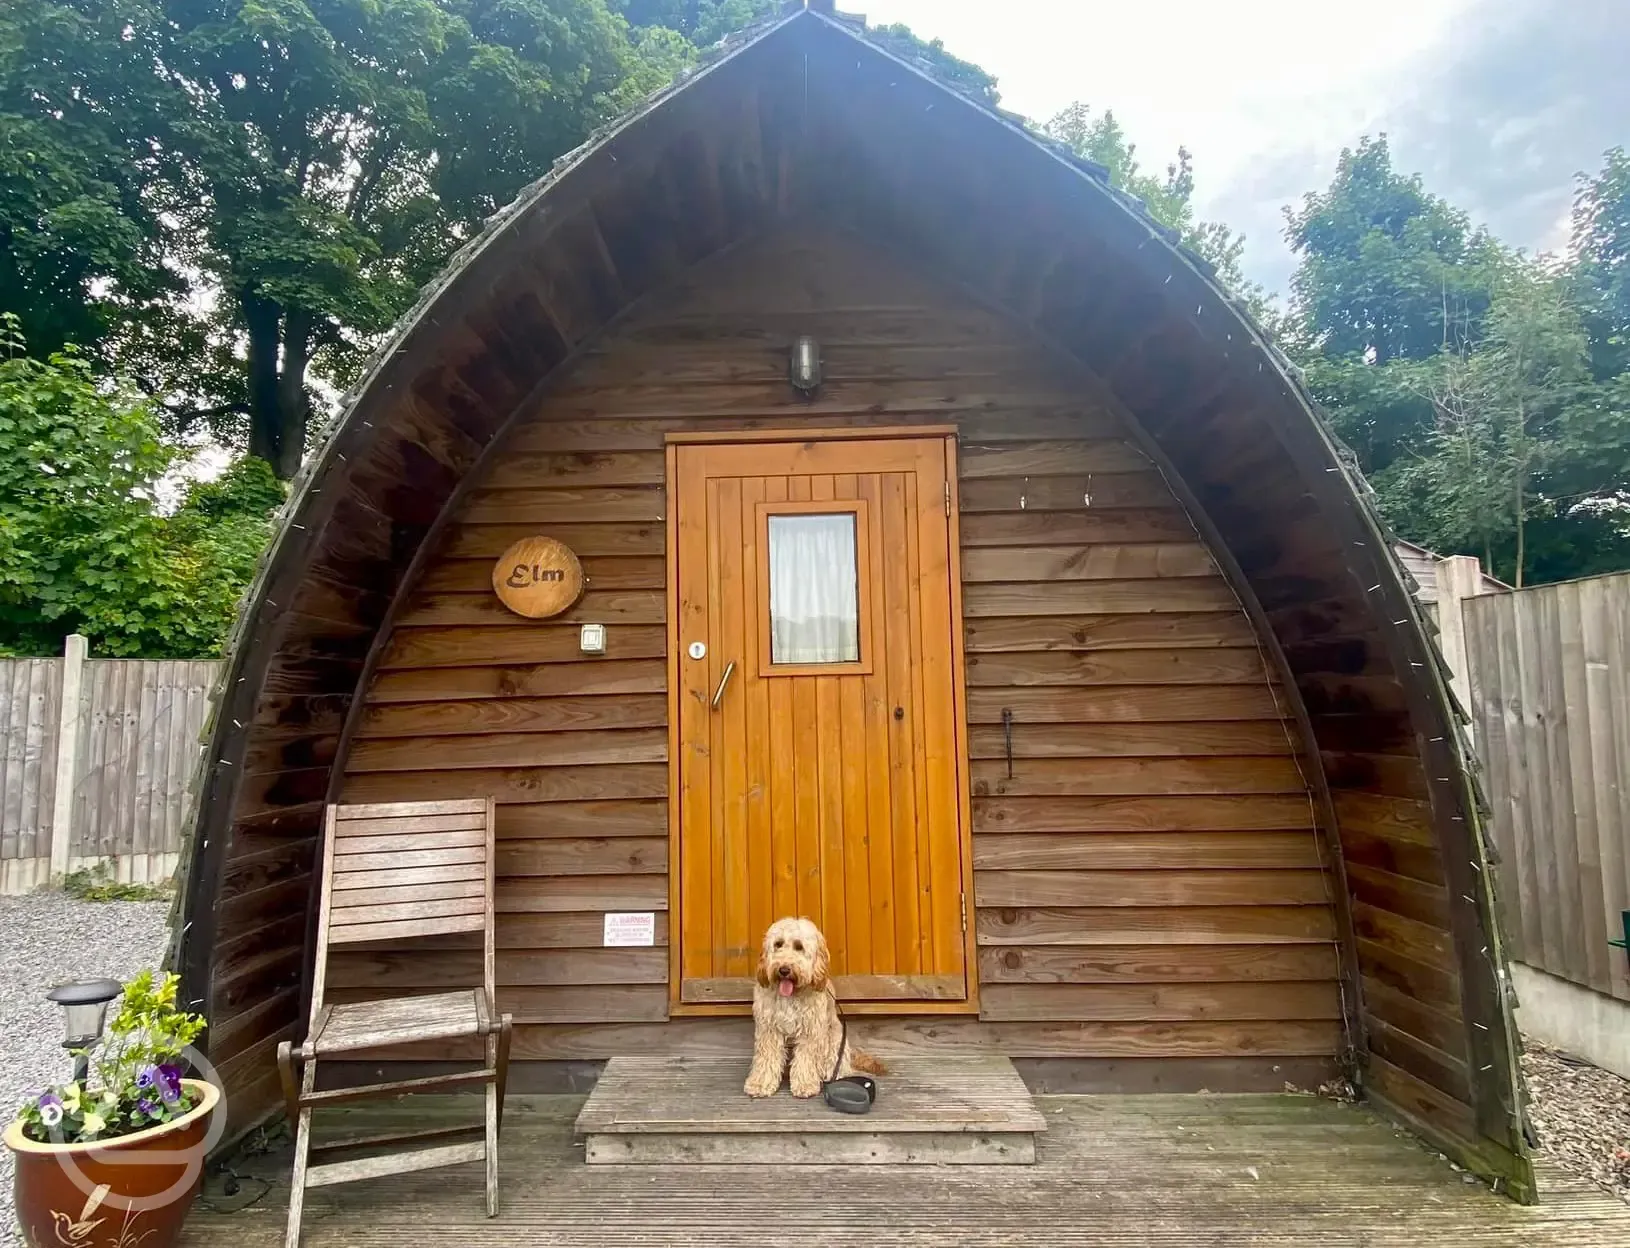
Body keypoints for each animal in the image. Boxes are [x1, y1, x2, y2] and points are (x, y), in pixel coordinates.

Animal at [743, 912, 886, 1101]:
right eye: (778, 944)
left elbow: (805, 1059)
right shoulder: (769, 1029)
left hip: (835, 1039)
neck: (792, 995)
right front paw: (760, 1084)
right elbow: (767, 1058)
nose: (784, 970)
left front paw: (805, 1085)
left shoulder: (810, 1030)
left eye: (799, 947)